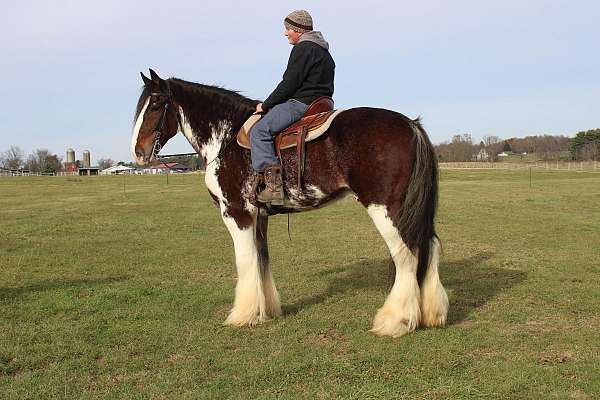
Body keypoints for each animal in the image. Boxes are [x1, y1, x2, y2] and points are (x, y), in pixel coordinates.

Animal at [132, 69, 450, 338]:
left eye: (156, 104)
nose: (138, 153)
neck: (227, 138)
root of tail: (409, 124)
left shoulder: (236, 213)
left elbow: (245, 260)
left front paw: (243, 315)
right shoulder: (259, 216)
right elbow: (261, 259)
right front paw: (267, 311)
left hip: (386, 209)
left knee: (406, 255)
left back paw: (396, 321)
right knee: (429, 247)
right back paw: (431, 314)